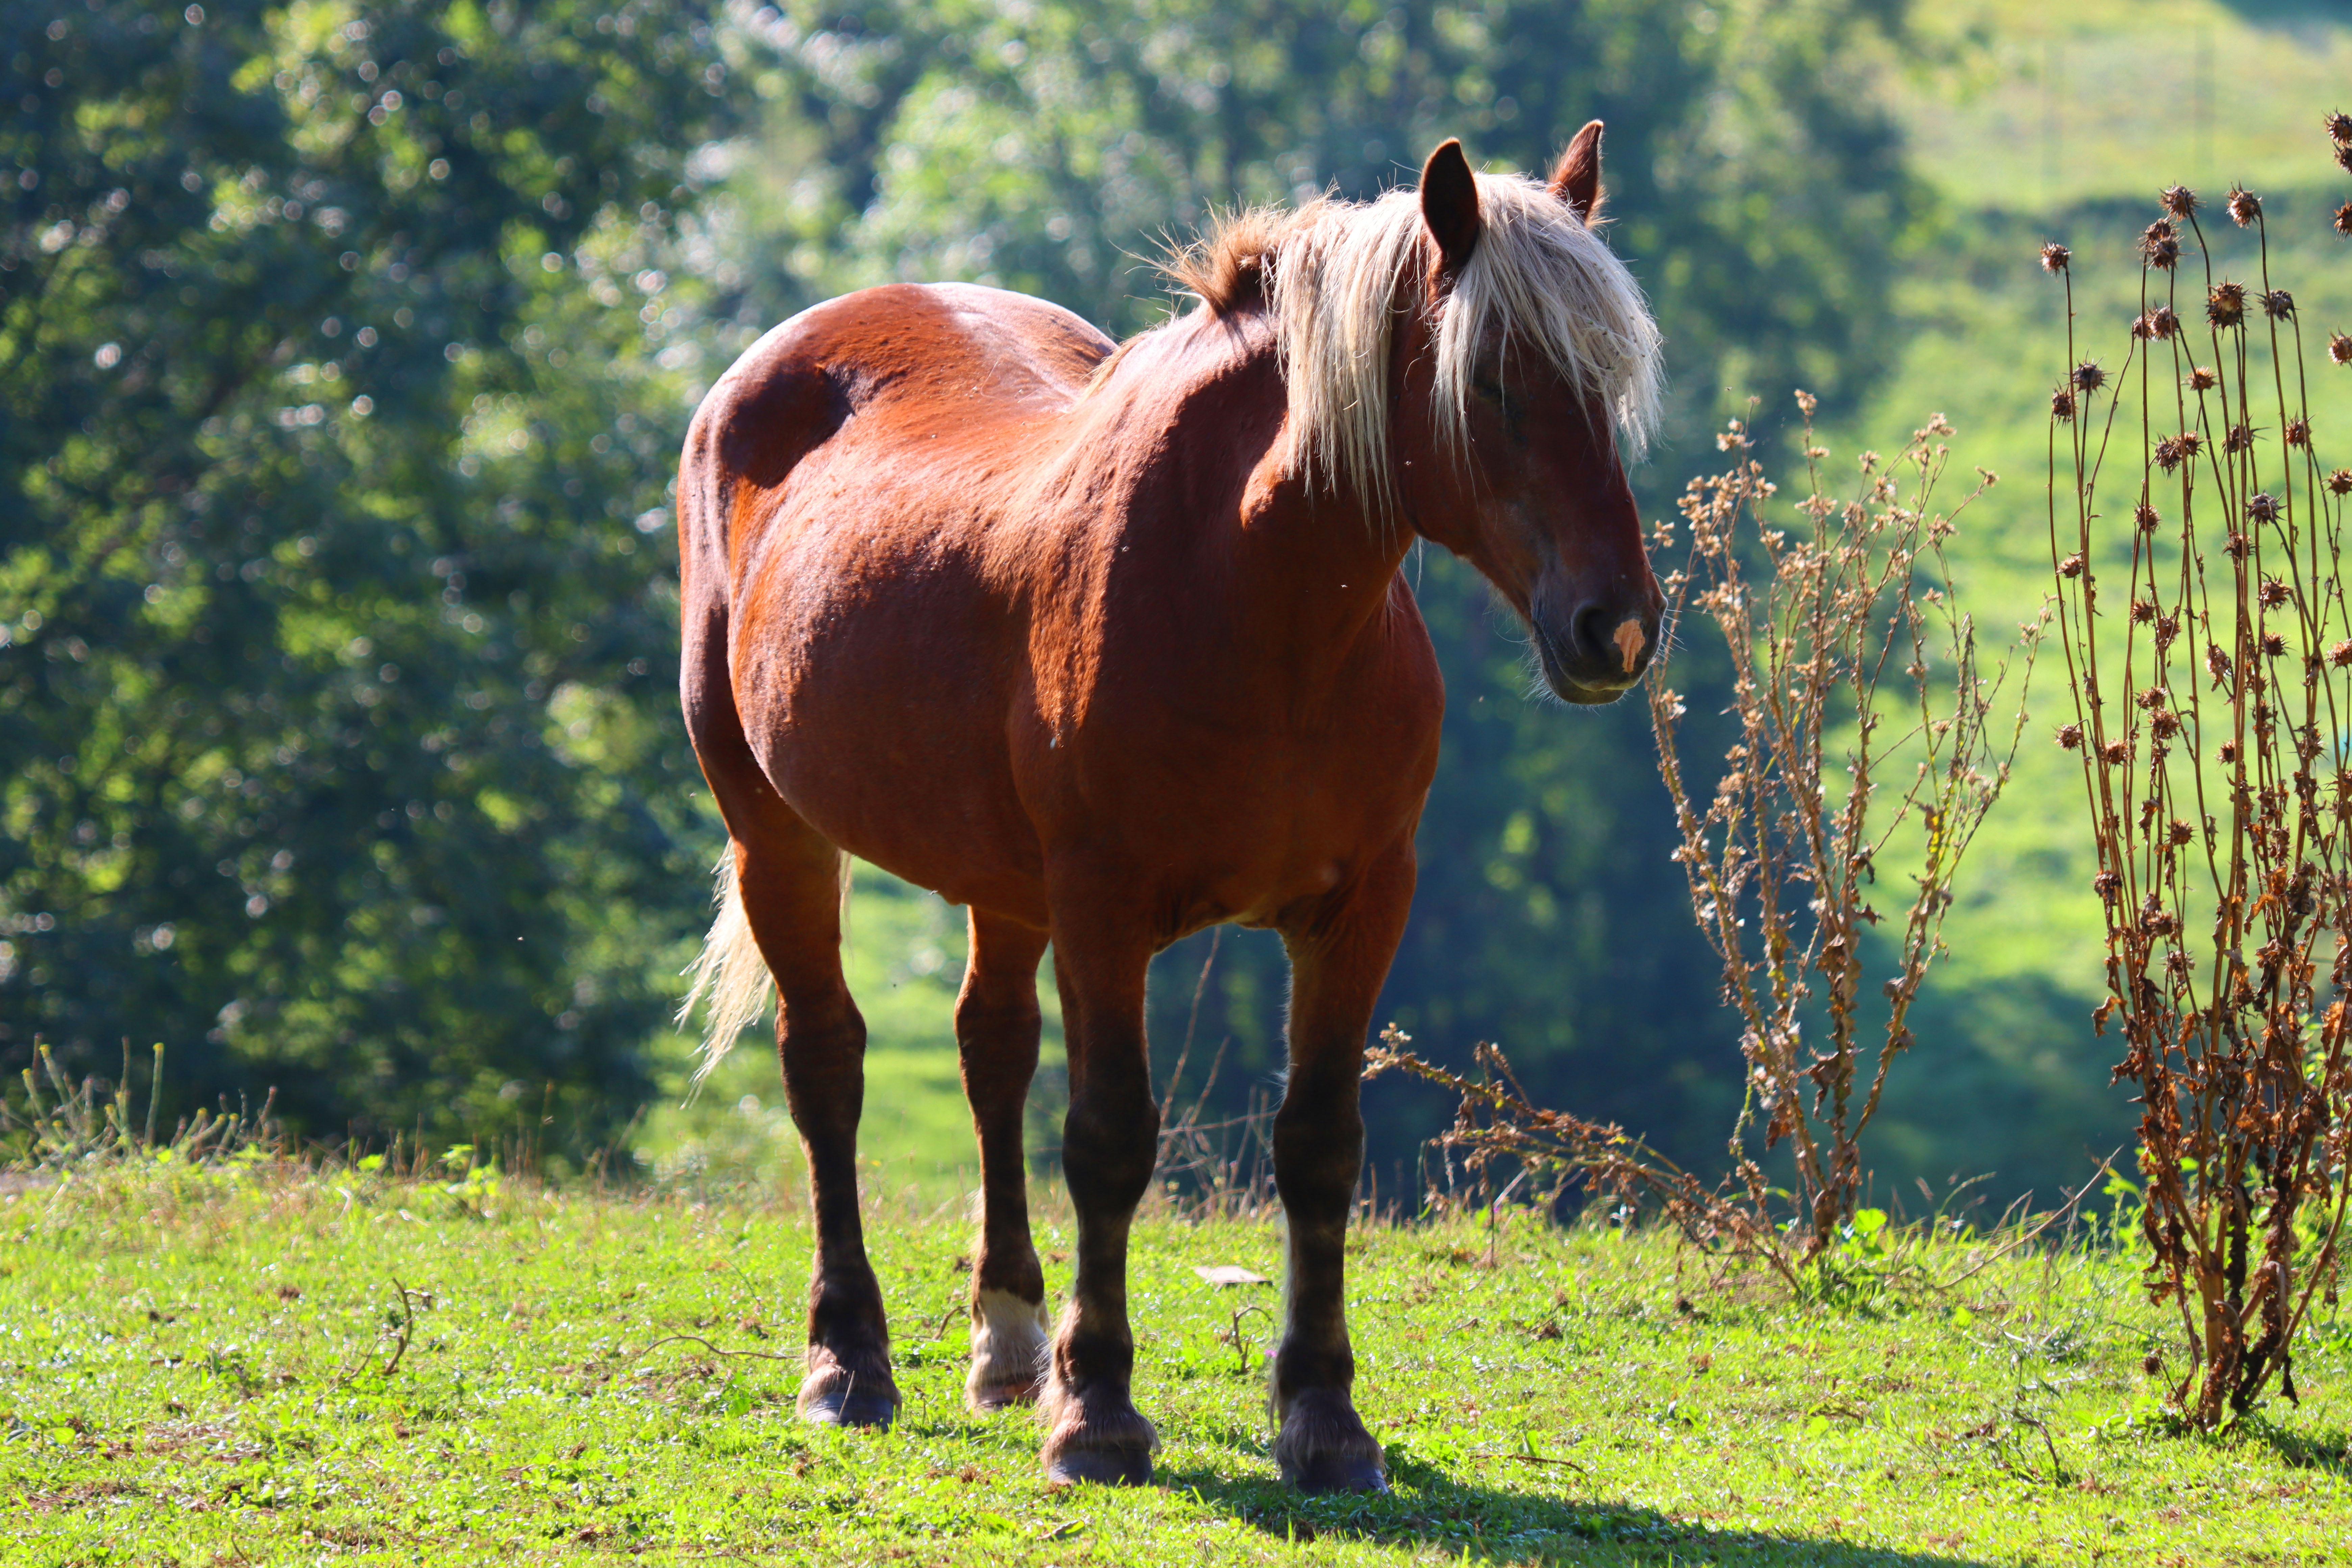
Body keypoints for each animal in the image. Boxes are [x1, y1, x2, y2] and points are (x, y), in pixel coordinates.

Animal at [673, 126, 1665, 1492]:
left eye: (1608, 384)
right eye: (1497, 387)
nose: (1613, 628)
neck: (1255, 603)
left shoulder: (1362, 906)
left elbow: (1316, 1143)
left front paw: (1323, 1417)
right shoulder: (1105, 909)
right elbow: (1107, 1137)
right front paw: (1096, 1412)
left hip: (997, 878)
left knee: (990, 1049)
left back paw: (1007, 1342)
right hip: (776, 830)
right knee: (825, 1061)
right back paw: (849, 1361)